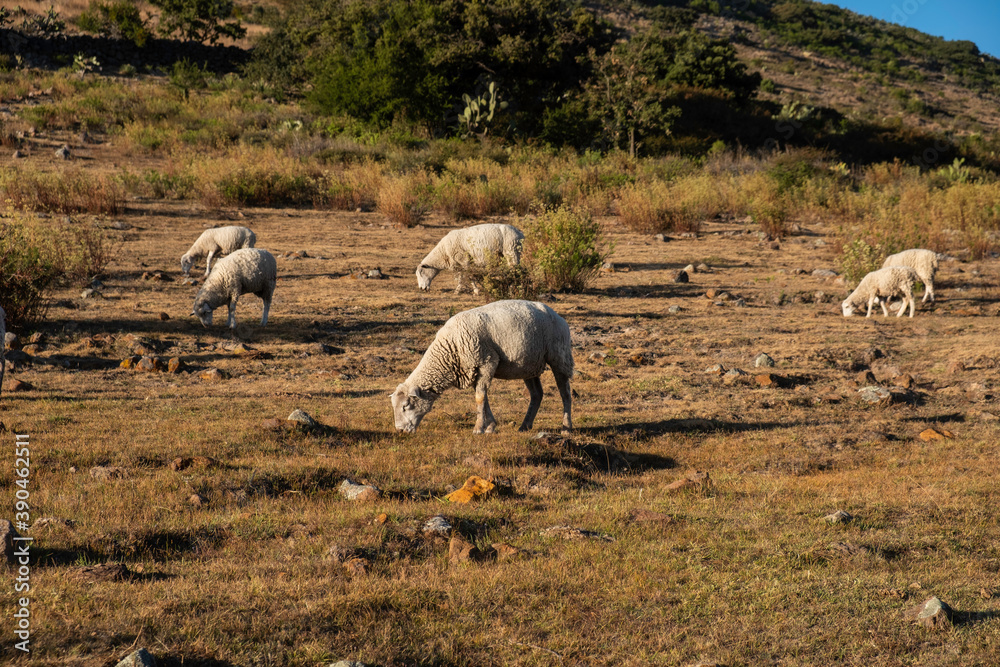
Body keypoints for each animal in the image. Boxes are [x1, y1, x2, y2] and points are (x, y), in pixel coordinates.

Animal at [391, 300, 574, 434]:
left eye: (406, 406)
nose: (400, 430)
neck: (450, 348)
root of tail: (556, 314)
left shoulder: (487, 362)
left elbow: (480, 397)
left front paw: (478, 429)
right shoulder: (474, 370)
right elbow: (483, 398)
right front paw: (490, 426)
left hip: (559, 356)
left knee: (565, 392)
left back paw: (566, 428)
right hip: (529, 365)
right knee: (537, 394)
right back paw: (525, 426)